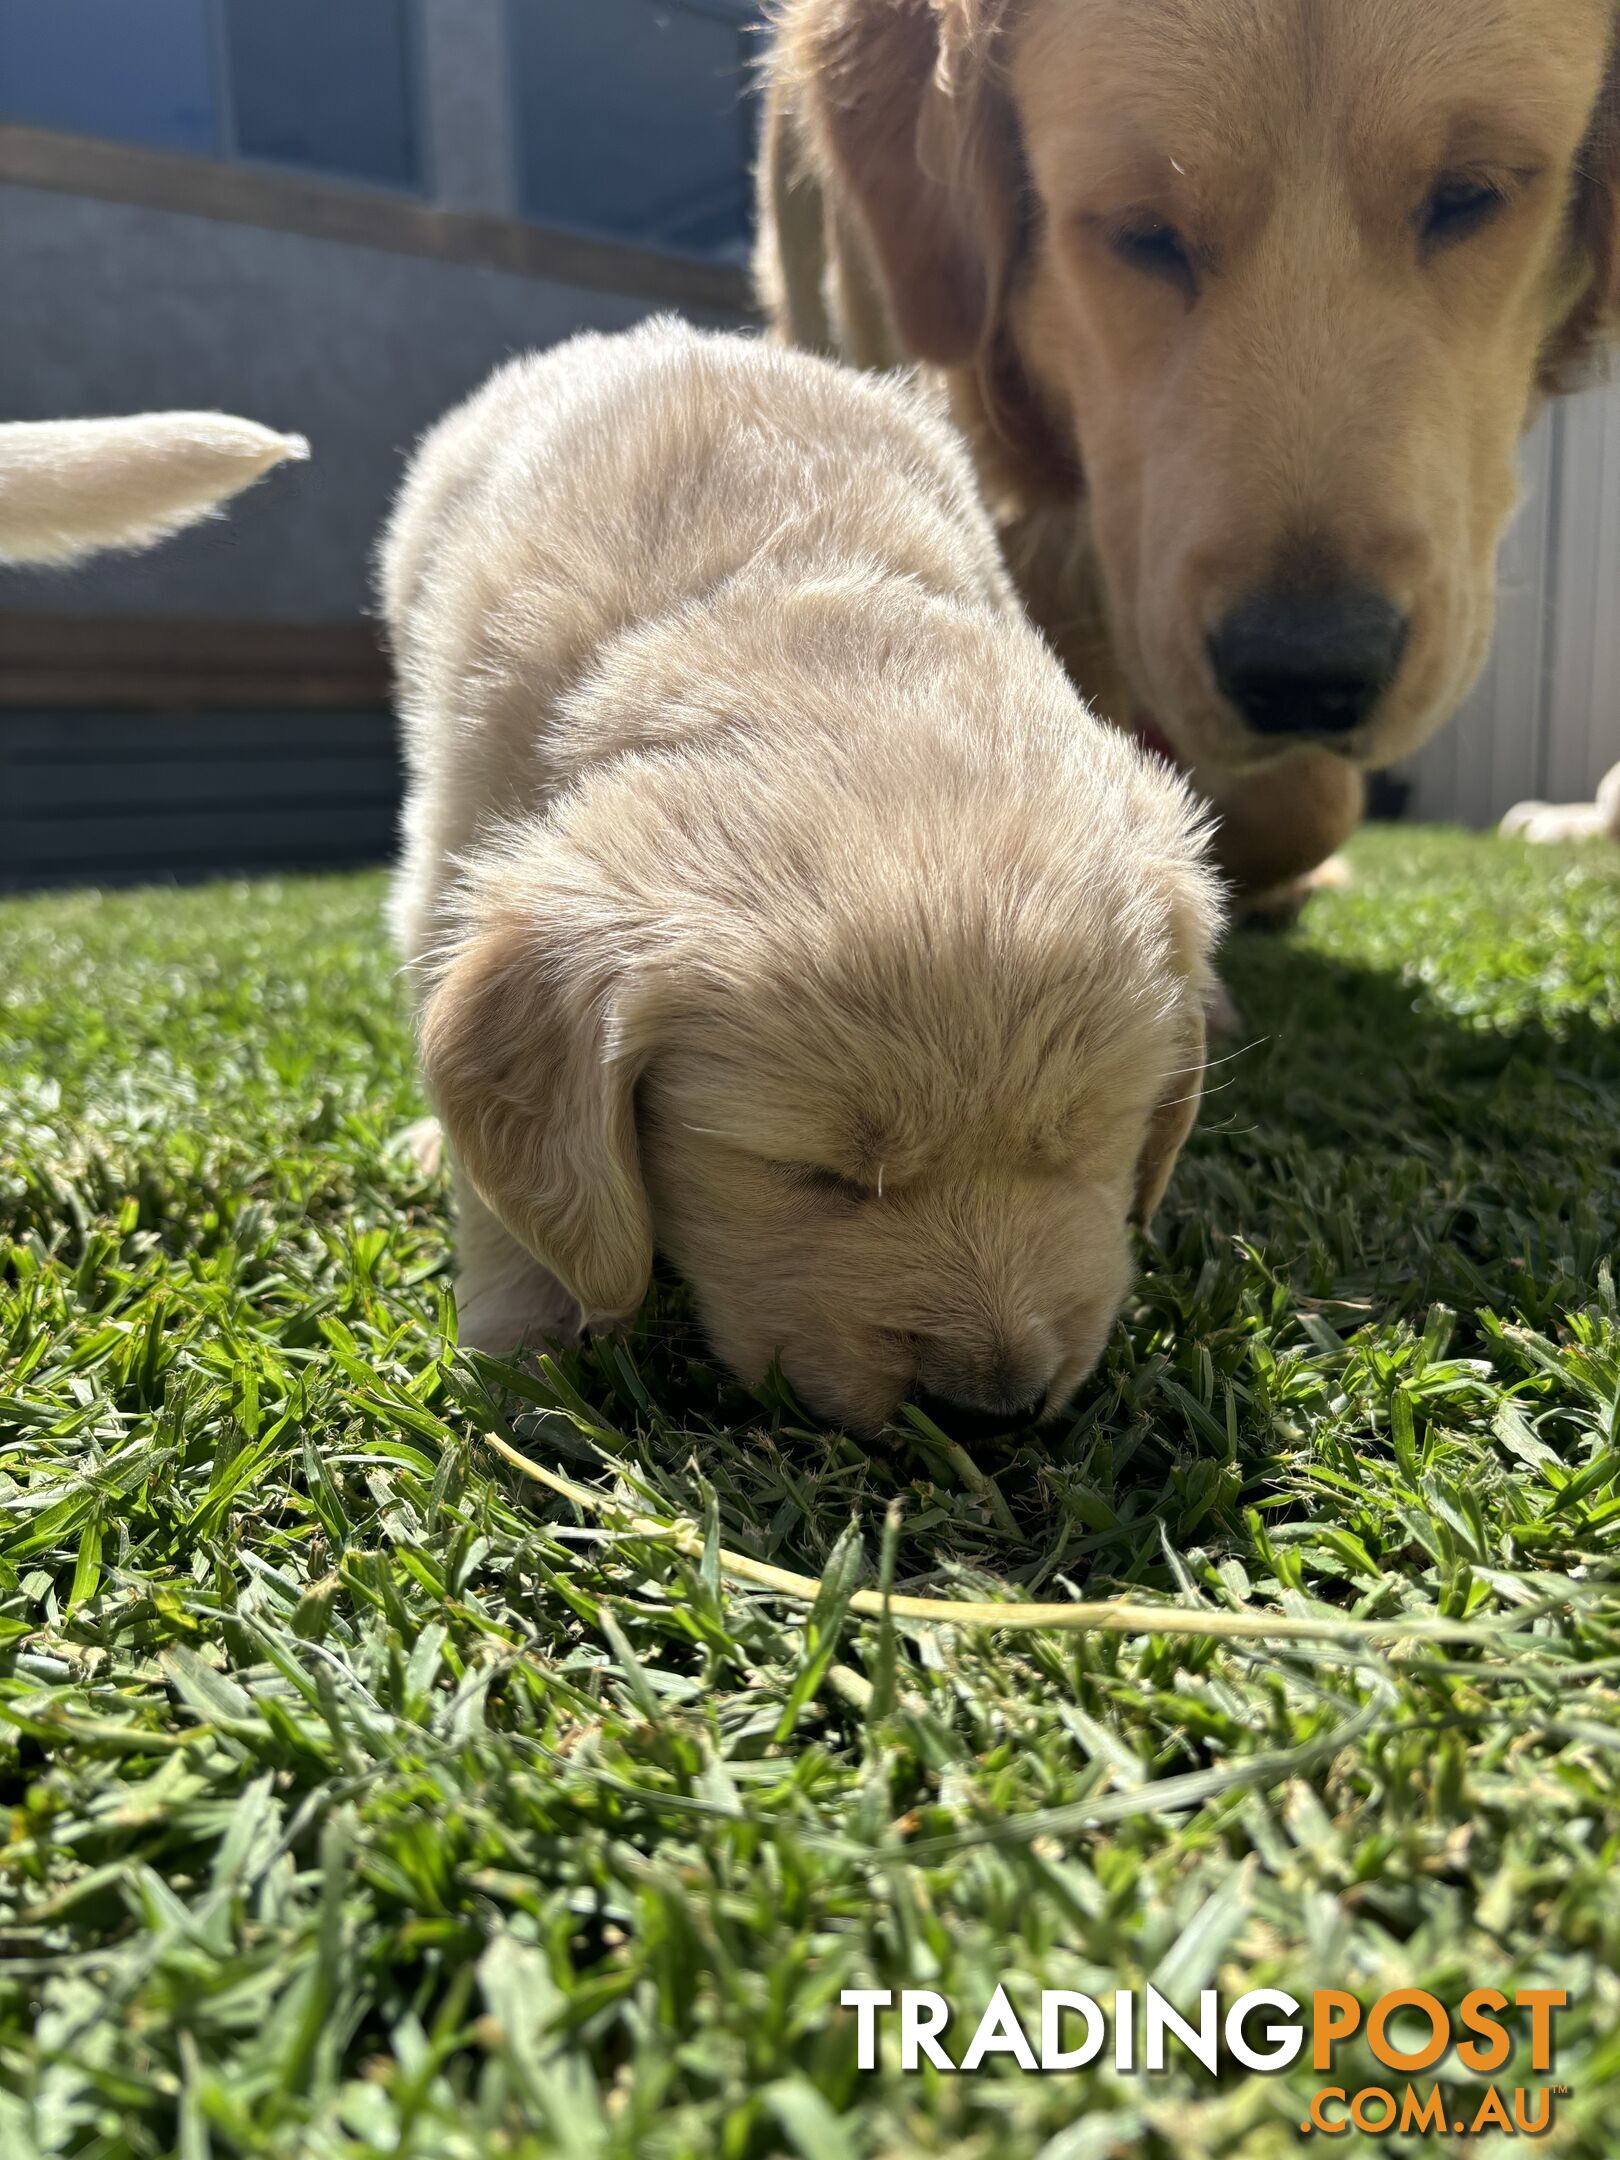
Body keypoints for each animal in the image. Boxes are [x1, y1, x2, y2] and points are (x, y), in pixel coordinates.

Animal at [380, 319, 1218, 1434]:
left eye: (1083, 1146)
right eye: (813, 1174)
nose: (987, 1413)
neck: (781, 596)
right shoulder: (460, 843)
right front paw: (530, 1348)